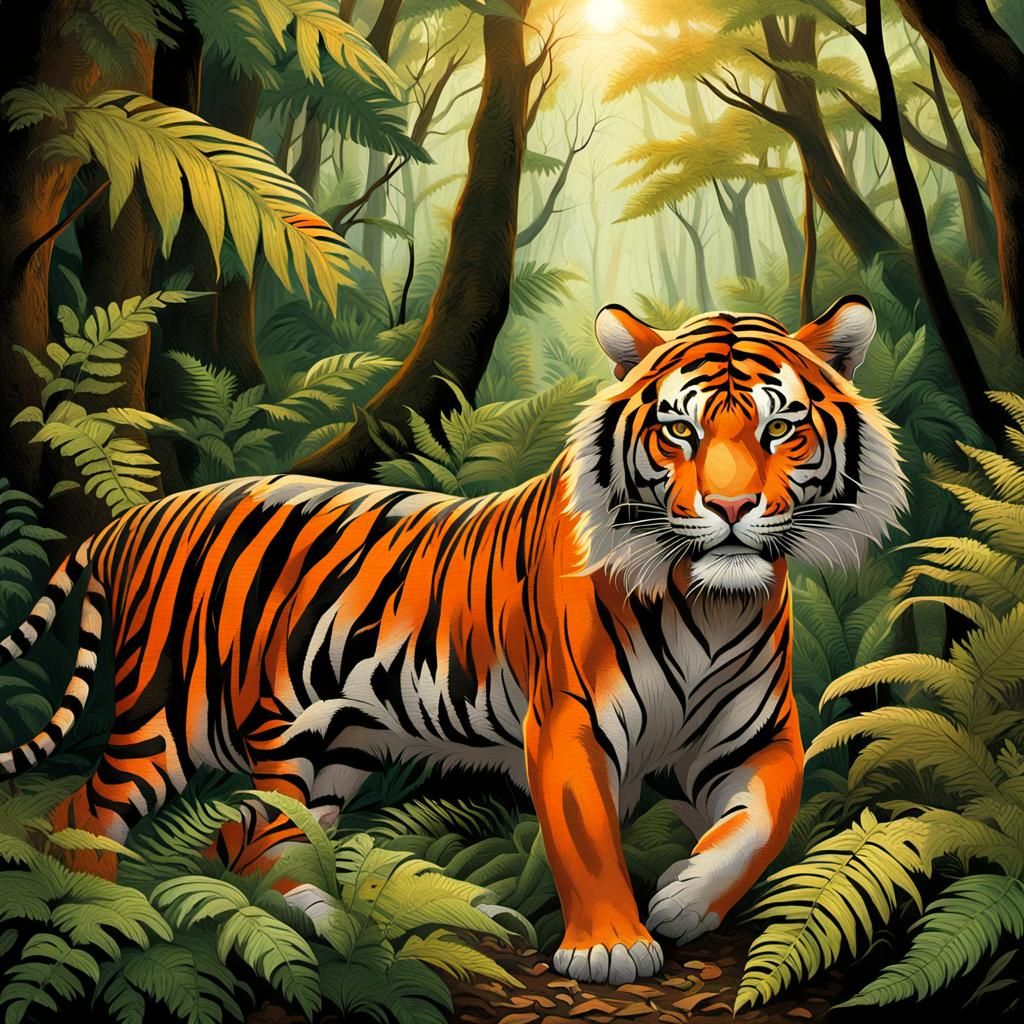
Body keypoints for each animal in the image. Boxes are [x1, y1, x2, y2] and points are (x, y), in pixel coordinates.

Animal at [0, 294, 906, 985]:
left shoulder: (751, 740)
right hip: (186, 719)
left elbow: (760, 826)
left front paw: (685, 898)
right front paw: (611, 947)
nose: (729, 509)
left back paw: (352, 923)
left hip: (334, 748)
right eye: (679, 432)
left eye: (780, 428)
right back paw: (101, 912)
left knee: (253, 839)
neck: (713, 606)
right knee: (86, 814)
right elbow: (585, 839)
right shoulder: (569, 724)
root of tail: (131, 519)